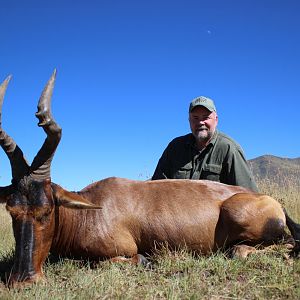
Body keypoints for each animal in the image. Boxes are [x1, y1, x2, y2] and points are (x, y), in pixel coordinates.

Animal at [0, 71, 298, 288]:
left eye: (47, 210)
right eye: (12, 210)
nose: (23, 281)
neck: (91, 208)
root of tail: (275, 204)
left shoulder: (122, 252)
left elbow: (122, 260)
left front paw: (149, 261)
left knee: (267, 247)